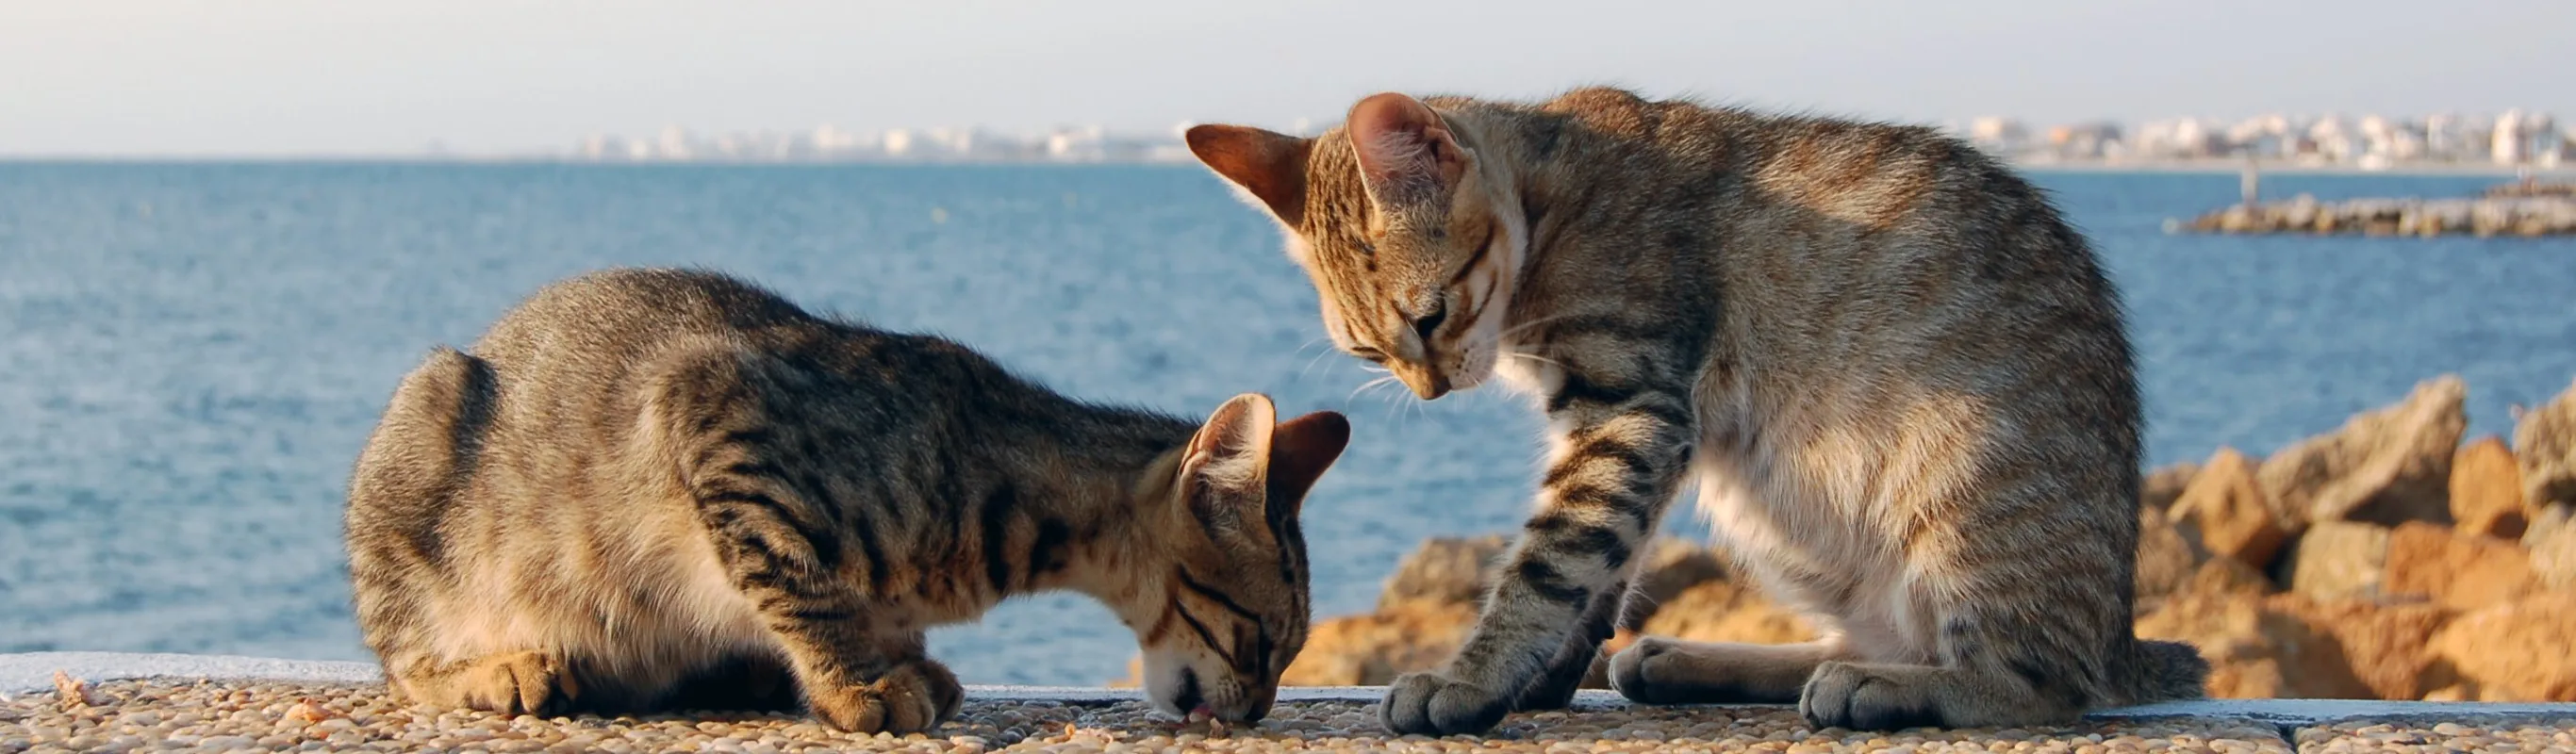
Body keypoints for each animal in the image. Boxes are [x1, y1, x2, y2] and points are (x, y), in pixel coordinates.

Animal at [347, 267, 1349, 730]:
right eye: (1263, 642)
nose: (1258, 712)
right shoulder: (712, 412)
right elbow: (799, 582)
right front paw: (855, 680)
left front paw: (901, 661)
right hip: (422, 437)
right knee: (402, 658)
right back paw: (498, 669)